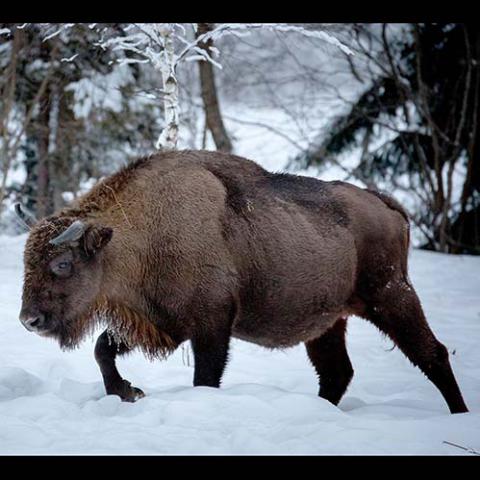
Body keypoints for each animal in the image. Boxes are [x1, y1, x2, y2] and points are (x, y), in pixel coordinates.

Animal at [15, 149, 468, 412]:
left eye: (62, 264)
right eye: (27, 260)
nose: (28, 320)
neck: (136, 234)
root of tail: (387, 205)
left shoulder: (211, 328)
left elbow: (205, 378)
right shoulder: (160, 323)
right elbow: (102, 349)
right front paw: (129, 392)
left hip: (391, 298)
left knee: (432, 354)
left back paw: (458, 414)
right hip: (328, 323)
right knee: (337, 372)